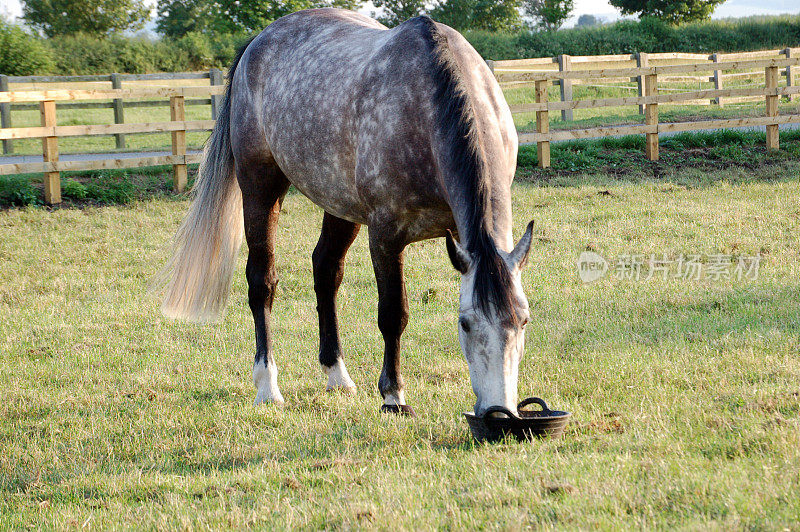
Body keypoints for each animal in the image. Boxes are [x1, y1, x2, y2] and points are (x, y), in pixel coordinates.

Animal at [154, 7, 536, 416]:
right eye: (465, 324)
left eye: (523, 321)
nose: (499, 412)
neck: (425, 106)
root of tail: (258, 41)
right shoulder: (385, 235)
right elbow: (393, 314)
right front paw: (393, 396)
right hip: (260, 188)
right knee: (261, 282)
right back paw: (267, 386)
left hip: (339, 205)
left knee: (325, 271)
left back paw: (336, 374)